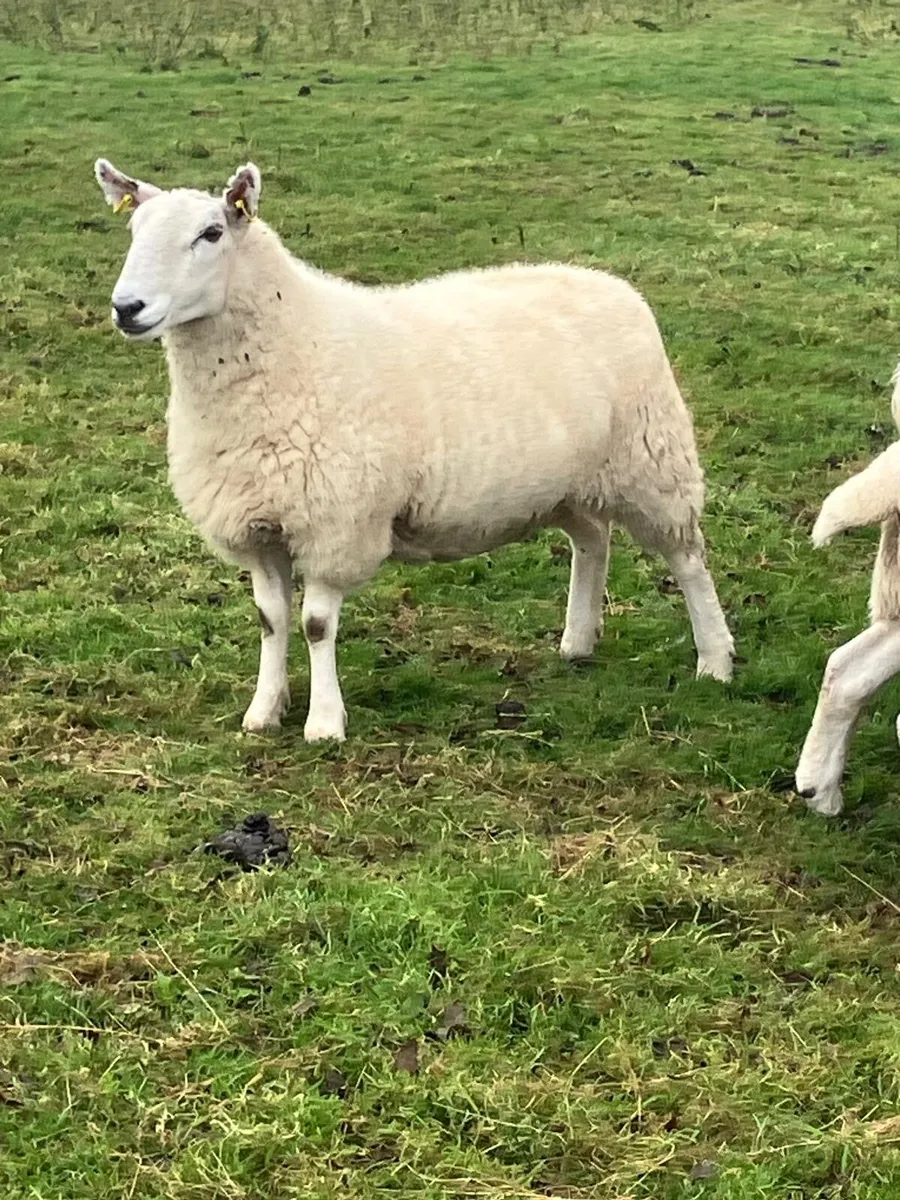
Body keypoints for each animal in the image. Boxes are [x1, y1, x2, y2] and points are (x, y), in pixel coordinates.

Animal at [94, 157, 735, 742]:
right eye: (133, 229)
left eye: (212, 233)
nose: (128, 308)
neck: (293, 343)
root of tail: (610, 283)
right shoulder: (258, 526)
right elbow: (271, 622)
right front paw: (263, 712)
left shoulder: (336, 523)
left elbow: (316, 625)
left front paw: (324, 724)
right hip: (568, 480)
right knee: (592, 540)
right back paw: (578, 642)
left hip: (652, 460)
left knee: (688, 559)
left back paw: (716, 660)